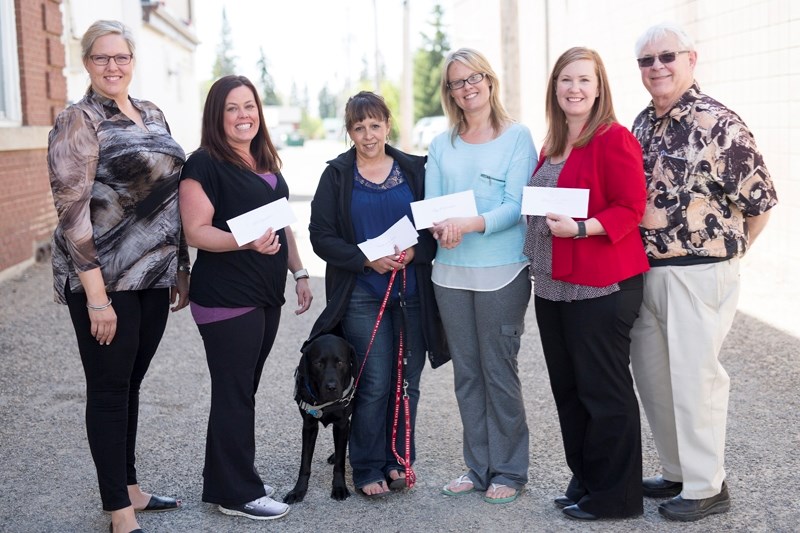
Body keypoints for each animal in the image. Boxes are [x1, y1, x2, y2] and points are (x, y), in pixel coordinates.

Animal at [282, 332, 354, 502]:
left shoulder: (341, 424)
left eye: (340, 362)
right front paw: (298, 490)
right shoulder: (309, 426)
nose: (331, 387)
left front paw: (339, 487)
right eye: (318, 363)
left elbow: (340, 463)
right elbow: (305, 463)